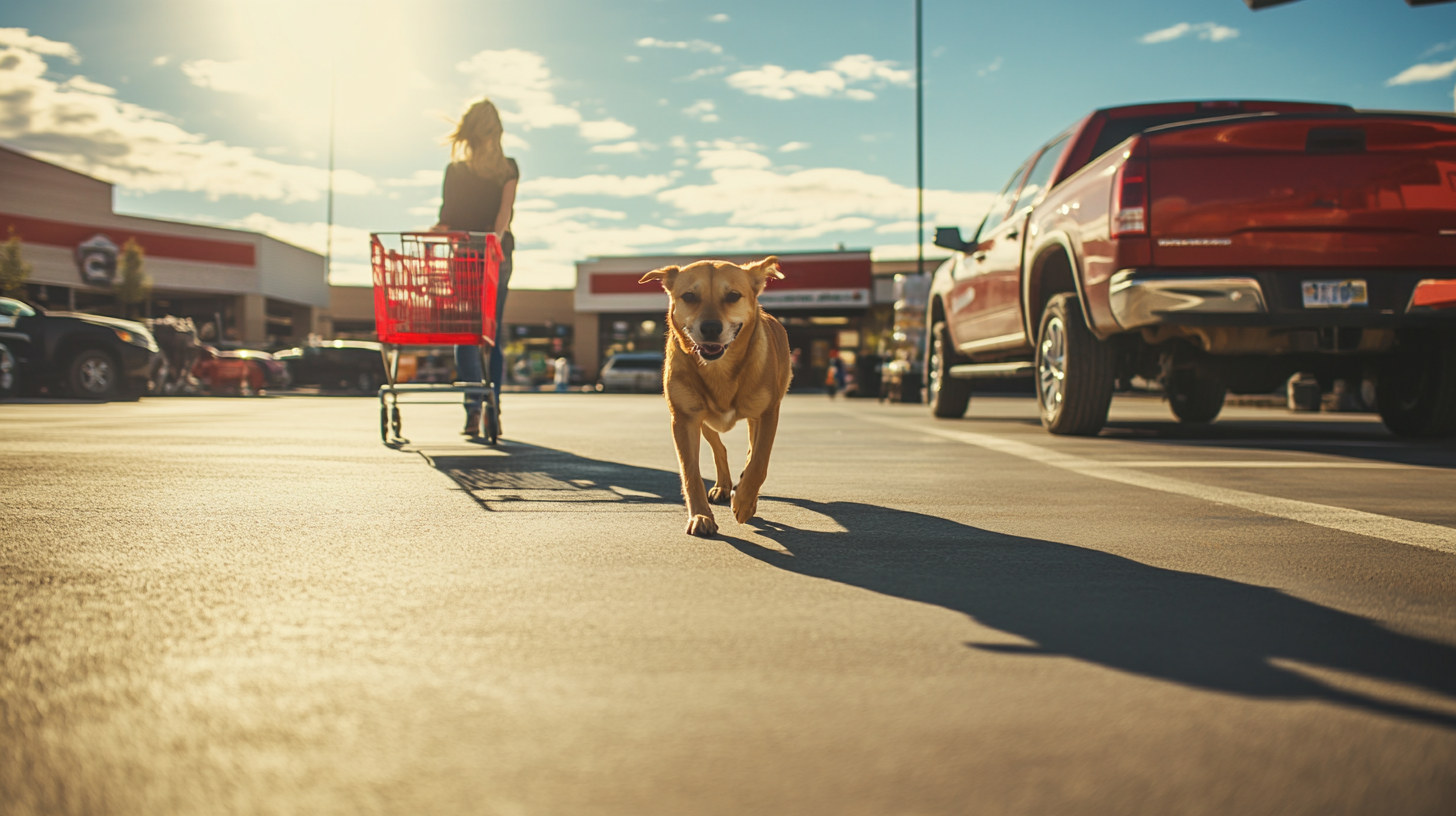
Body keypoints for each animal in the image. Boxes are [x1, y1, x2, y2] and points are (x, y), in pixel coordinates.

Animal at [640, 255, 792, 536]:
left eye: (733, 296)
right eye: (689, 296)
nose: (710, 328)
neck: (719, 369)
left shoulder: (768, 413)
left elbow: (759, 462)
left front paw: (744, 502)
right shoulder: (684, 418)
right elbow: (690, 472)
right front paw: (701, 516)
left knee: (751, 450)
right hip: (704, 419)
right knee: (719, 446)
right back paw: (723, 485)